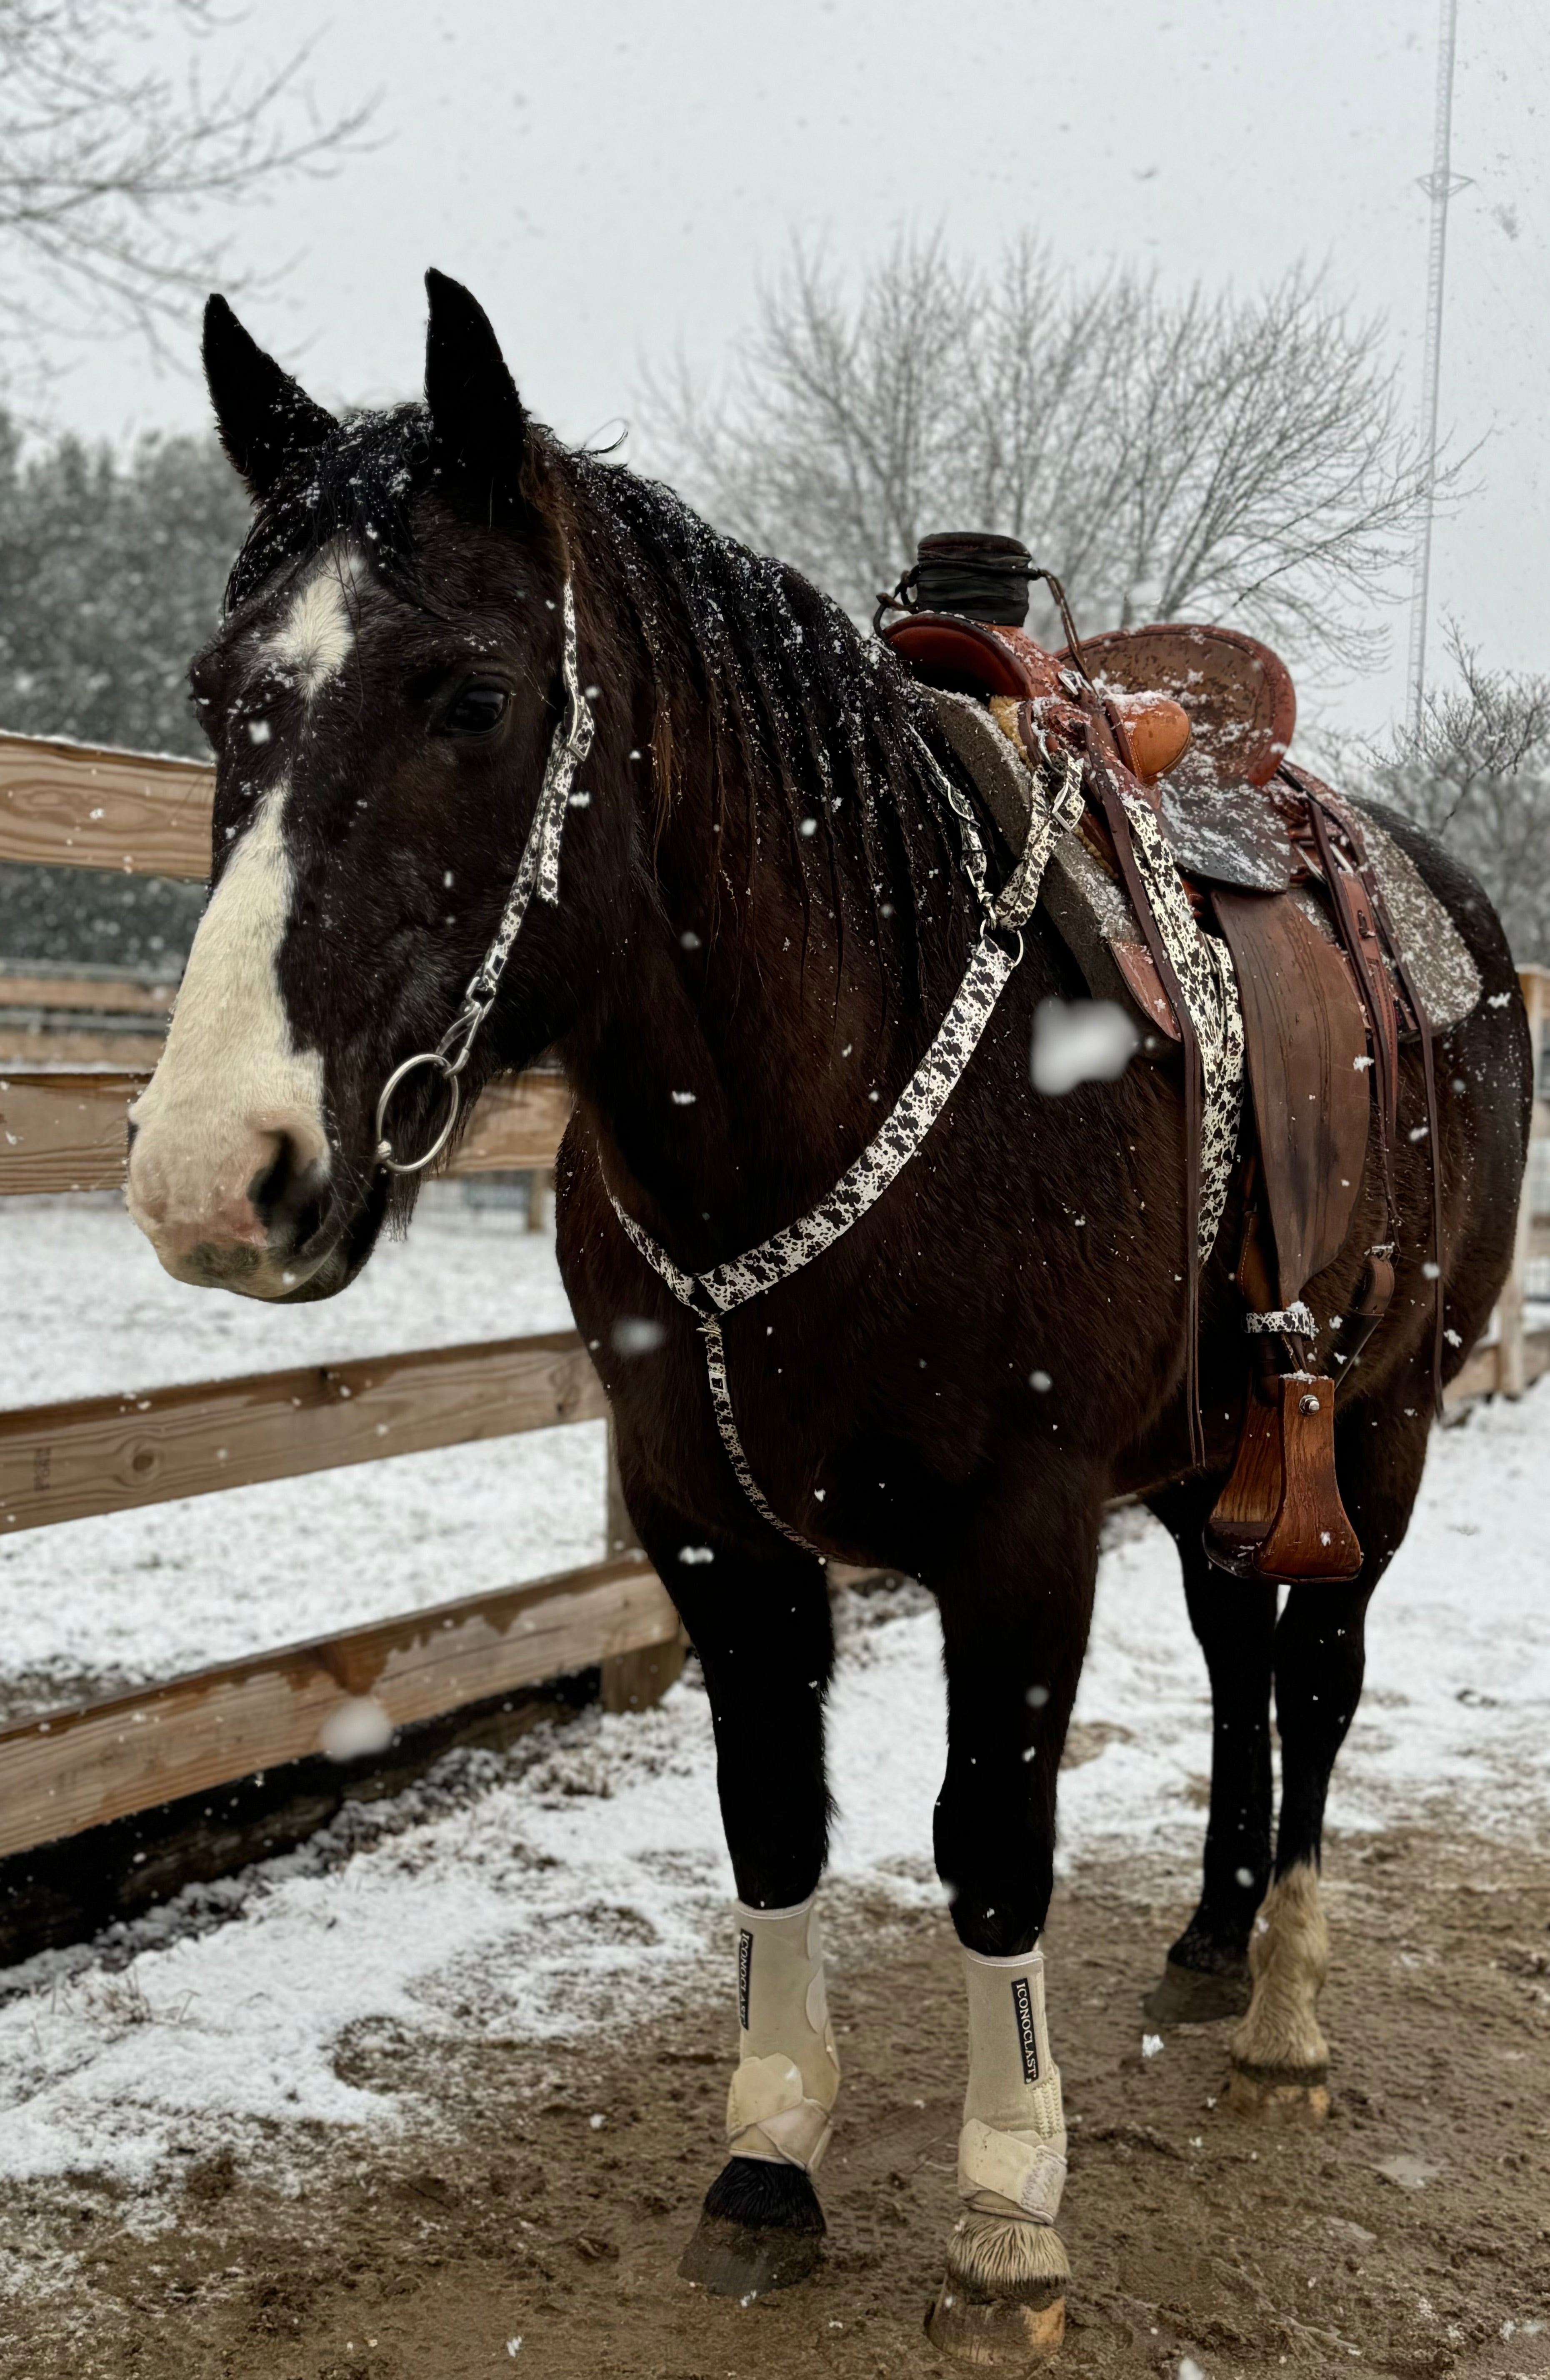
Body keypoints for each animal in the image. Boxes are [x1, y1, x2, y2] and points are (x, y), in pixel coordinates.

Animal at [127, 278, 1533, 2361]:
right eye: (226, 696)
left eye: (470, 694)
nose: (214, 1174)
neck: (858, 1052)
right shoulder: (709, 1524)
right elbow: (774, 1818)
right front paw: (768, 2160)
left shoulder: (1024, 1532)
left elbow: (992, 1841)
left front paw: (1008, 2212)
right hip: (1223, 1447)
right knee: (1234, 1656)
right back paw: (1209, 1941)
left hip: (1384, 1417)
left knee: (1321, 1676)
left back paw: (1280, 2015)